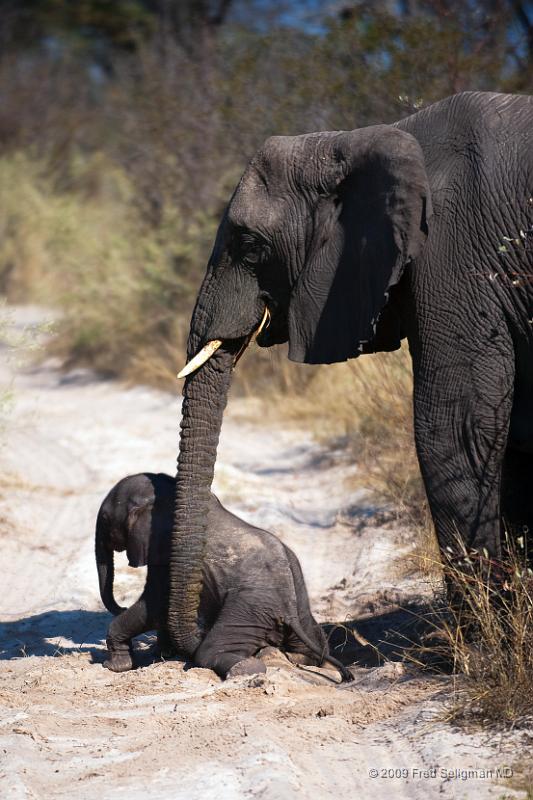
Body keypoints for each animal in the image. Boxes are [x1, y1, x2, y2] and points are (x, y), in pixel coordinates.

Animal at [95, 472, 354, 684]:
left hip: (248, 610)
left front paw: (115, 666)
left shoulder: (166, 552)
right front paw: (162, 654)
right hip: (299, 609)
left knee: (210, 652)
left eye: (105, 519)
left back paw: (248, 668)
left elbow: (155, 605)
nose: (120, 605)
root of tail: (288, 611)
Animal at [169, 92, 532, 656]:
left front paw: (482, 646)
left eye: (250, 247)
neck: (353, 143)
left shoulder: (456, 257)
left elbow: (455, 427)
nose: (195, 637)